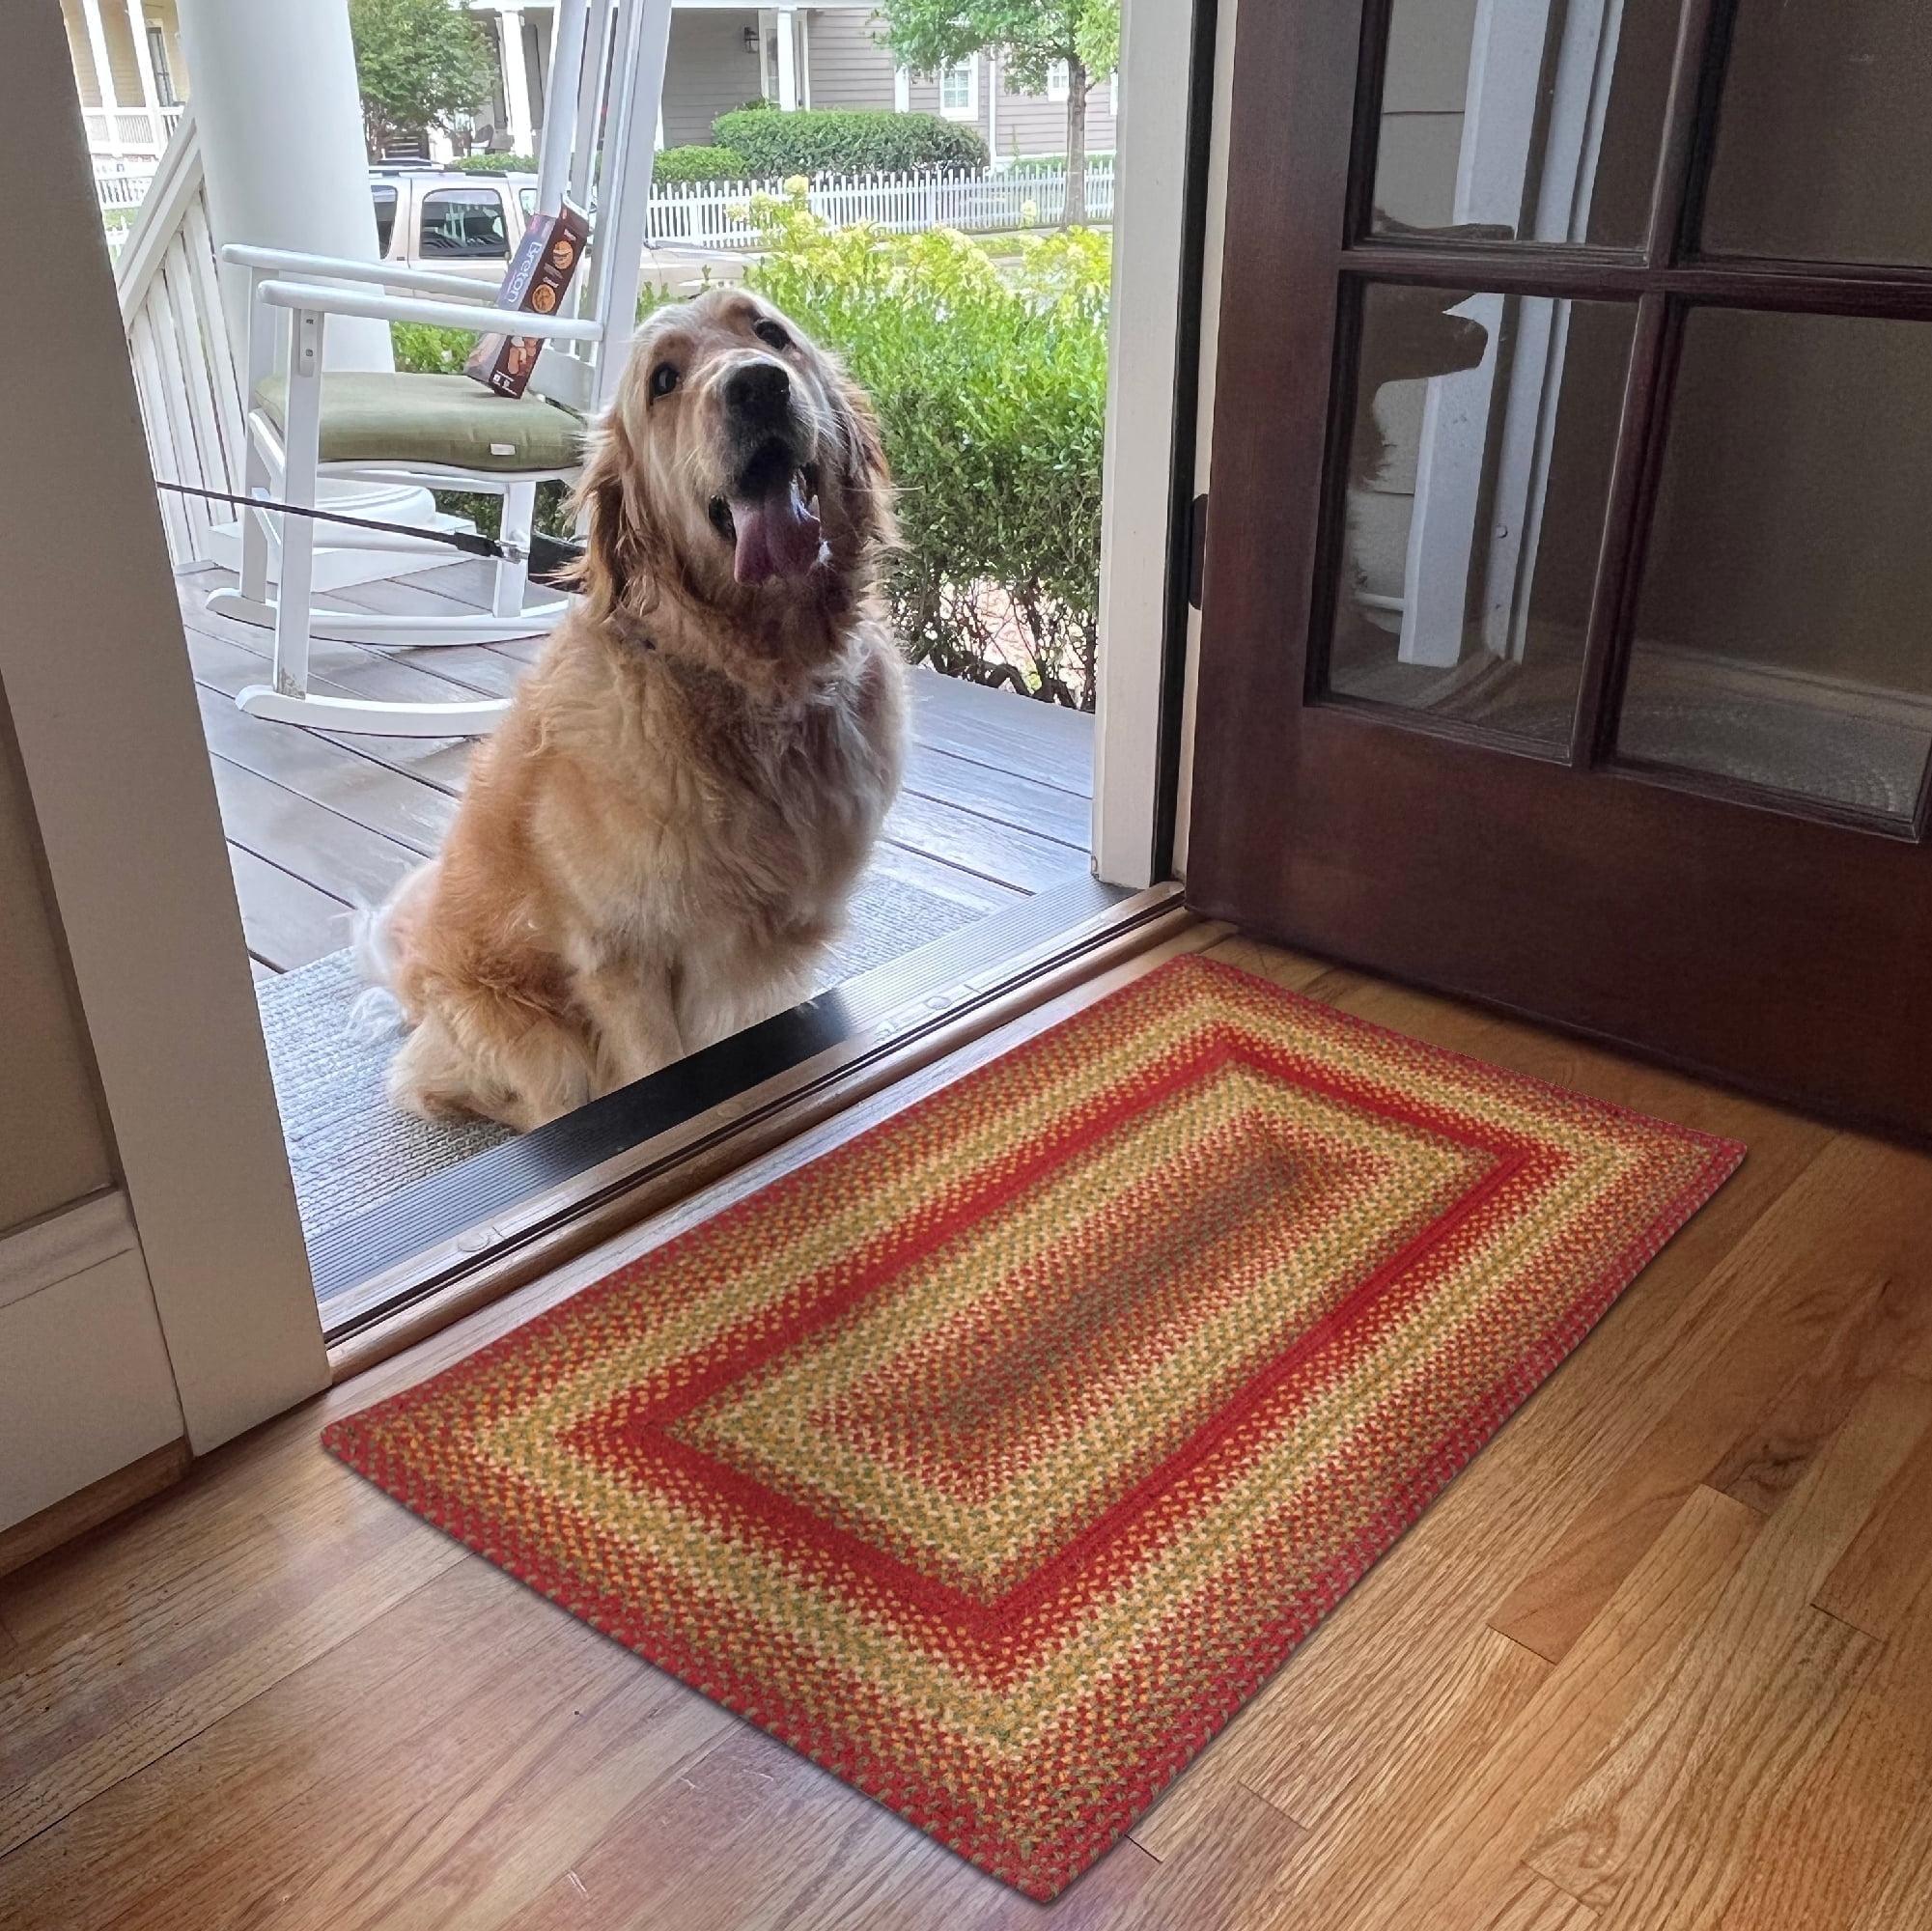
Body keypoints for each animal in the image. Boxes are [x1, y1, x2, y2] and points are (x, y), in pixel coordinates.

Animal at [359, 286, 900, 1128]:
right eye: (664, 381)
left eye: (770, 333)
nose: (757, 385)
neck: (757, 681)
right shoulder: (622, 963)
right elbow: (653, 1072)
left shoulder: (775, 952)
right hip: (533, 1038)